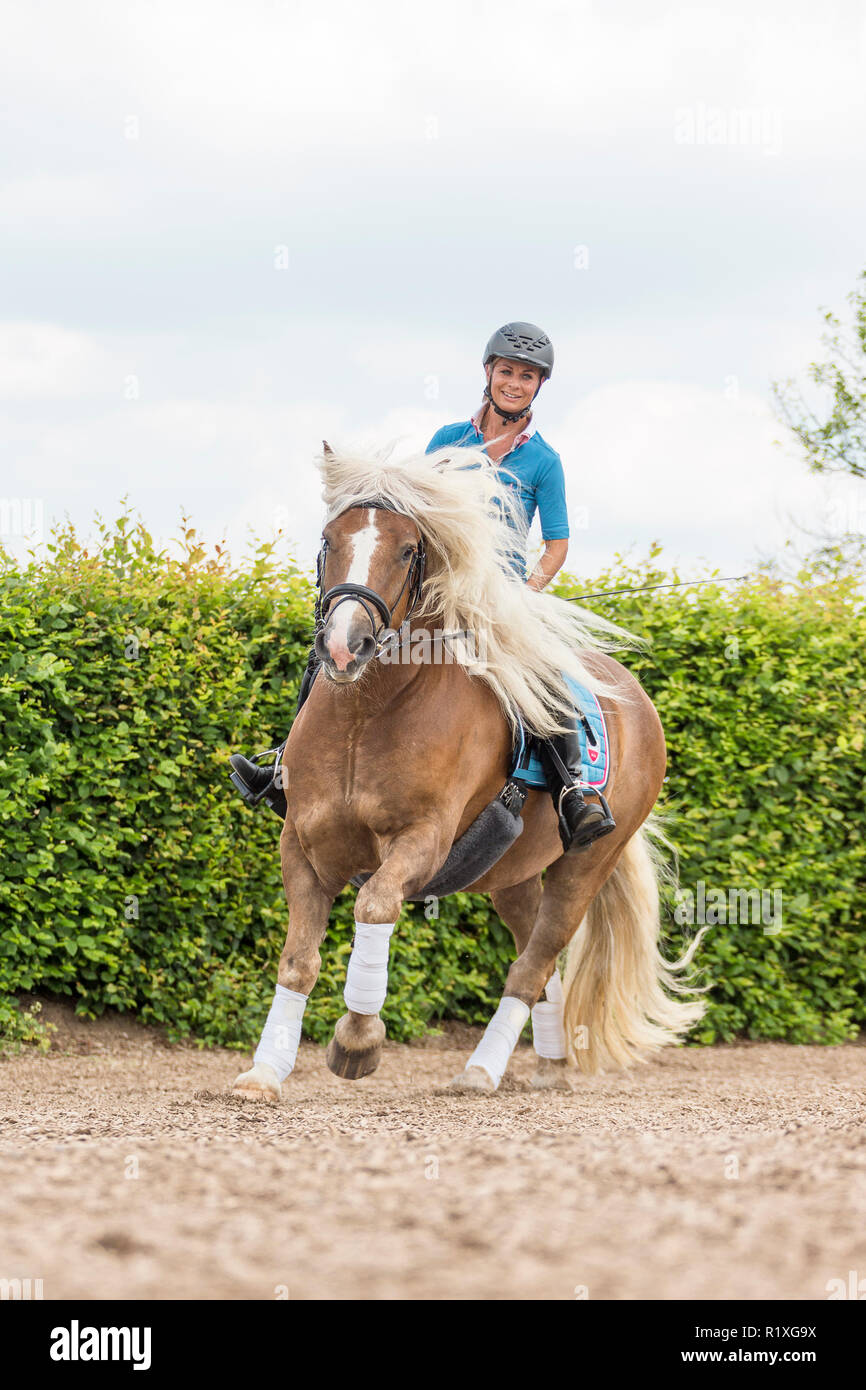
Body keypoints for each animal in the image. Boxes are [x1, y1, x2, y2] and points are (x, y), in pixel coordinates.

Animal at [231, 442, 705, 1100]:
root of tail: (633, 696)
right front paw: (264, 1072)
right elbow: (298, 960)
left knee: (532, 965)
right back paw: (547, 1066)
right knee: (540, 965)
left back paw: (481, 1070)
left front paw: (357, 1043)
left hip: (584, 867)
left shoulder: (422, 842)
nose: (345, 646)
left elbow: (373, 906)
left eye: (409, 550)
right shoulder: (302, 843)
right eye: (329, 539)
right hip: (513, 876)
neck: (364, 715)